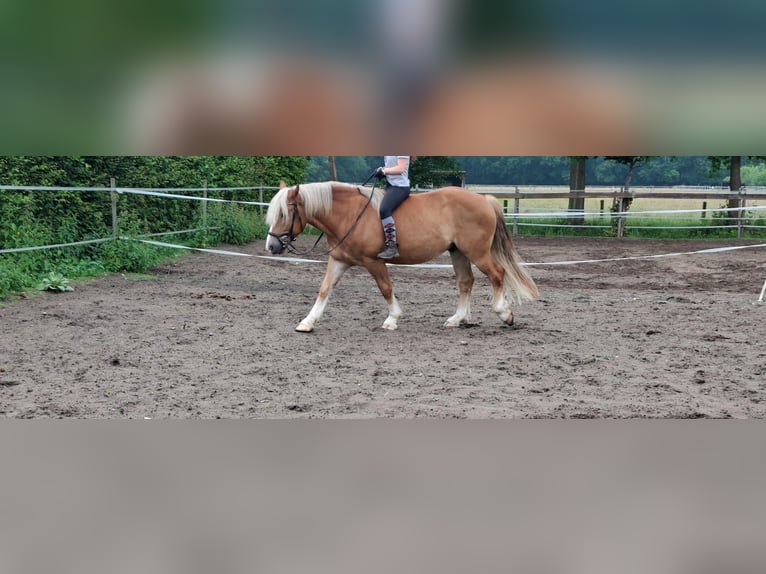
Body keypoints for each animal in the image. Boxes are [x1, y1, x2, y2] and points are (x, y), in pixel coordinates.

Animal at [266, 180, 540, 332]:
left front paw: (392, 319)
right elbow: (324, 289)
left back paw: (504, 313)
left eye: (284, 214)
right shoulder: (339, 261)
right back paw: (457, 318)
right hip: (458, 252)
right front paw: (308, 322)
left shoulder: (374, 261)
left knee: (497, 274)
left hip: (477, 252)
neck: (349, 215)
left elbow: (386, 288)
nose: (272, 246)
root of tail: (484, 199)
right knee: (466, 282)